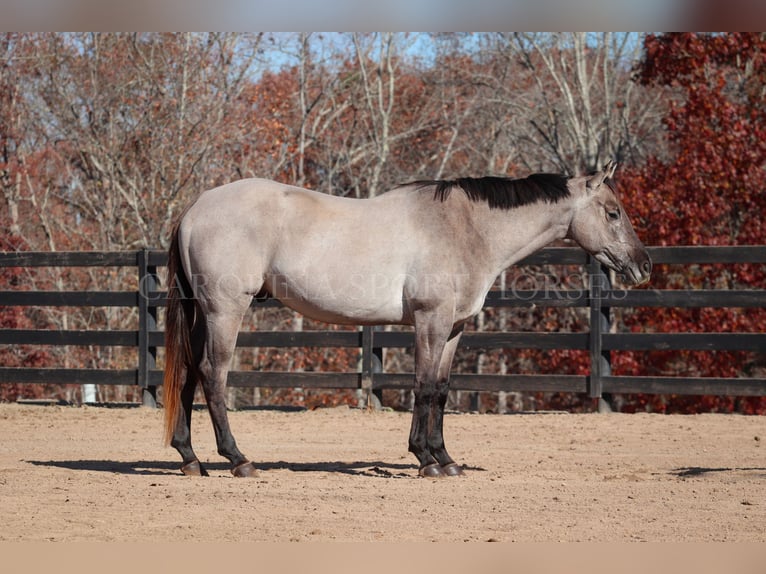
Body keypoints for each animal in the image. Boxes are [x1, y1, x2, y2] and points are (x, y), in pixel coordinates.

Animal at [164, 160, 656, 480]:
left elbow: (441, 389)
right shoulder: (429, 320)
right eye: (613, 212)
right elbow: (422, 384)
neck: (467, 228)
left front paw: (446, 459)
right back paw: (237, 459)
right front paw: (425, 460)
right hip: (225, 309)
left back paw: (190, 459)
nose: (643, 266)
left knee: (188, 371)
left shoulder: (454, 327)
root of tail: (194, 209)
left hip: (203, 313)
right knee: (212, 373)